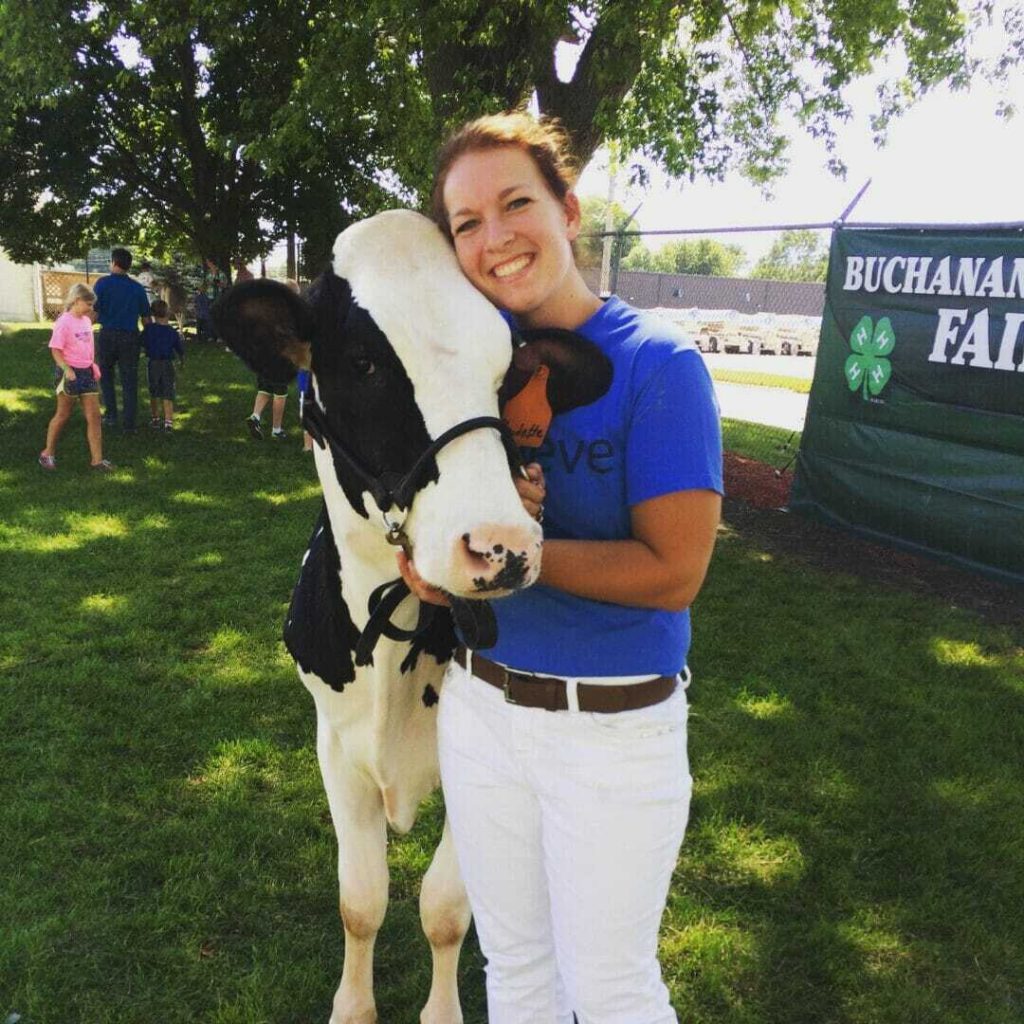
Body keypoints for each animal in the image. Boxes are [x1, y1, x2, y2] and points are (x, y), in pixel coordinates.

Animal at [208, 209, 606, 1024]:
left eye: (509, 374)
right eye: (362, 362)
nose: (501, 546)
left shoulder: (475, 768)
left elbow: (445, 908)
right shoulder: (334, 745)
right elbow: (361, 900)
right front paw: (352, 1007)